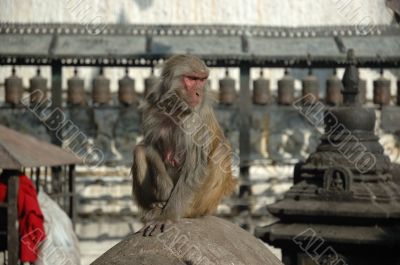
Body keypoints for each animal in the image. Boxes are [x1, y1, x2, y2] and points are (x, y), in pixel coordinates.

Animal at [131, 53, 238, 235]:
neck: (175, 109)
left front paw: (168, 216)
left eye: (202, 80)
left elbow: (194, 169)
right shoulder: (152, 107)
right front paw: (164, 187)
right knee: (139, 151)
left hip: (202, 203)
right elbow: (150, 145)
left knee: (221, 151)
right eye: (192, 79)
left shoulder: (196, 119)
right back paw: (155, 205)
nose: (198, 93)